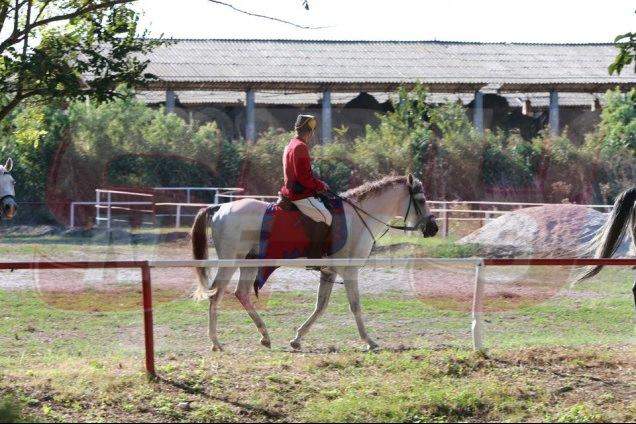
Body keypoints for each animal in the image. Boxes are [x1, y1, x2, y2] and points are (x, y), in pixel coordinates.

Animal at [189, 173, 438, 352]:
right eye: (421, 200)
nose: (433, 228)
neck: (359, 218)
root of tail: (220, 207)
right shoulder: (350, 272)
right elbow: (355, 306)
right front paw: (369, 341)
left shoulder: (329, 272)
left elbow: (320, 306)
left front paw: (297, 339)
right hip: (230, 263)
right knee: (216, 295)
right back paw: (216, 342)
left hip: (248, 264)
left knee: (241, 294)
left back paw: (265, 336)